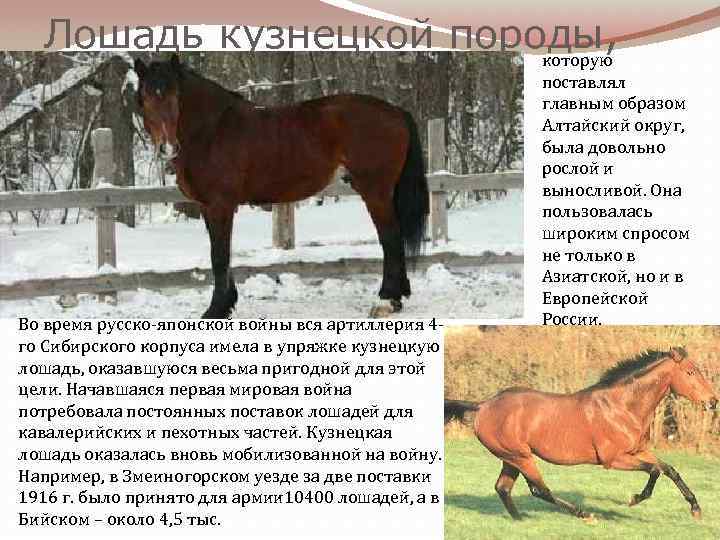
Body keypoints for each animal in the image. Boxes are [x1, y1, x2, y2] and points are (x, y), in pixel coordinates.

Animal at [133, 54, 429, 319]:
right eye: (146, 98)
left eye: (175, 97)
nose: (168, 147)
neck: (212, 130)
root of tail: (396, 112)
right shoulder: (209, 208)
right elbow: (222, 254)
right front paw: (227, 304)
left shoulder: (220, 206)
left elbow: (219, 256)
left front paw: (215, 310)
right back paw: (398, 298)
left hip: (375, 191)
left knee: (390, 238)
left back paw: (386, 301)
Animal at [468, 347, 718, 520]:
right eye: (691, 372)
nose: (713, 401)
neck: (622, 407)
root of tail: (483, 406)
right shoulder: (613, 459)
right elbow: (655, 471)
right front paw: (634, 499)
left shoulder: (638, 451)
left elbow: (670, 470)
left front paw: (696, 509)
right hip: (520, 456)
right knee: (539, 489)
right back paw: (585, 515)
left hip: (511, 458)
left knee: (504, 488)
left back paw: (520, 520)